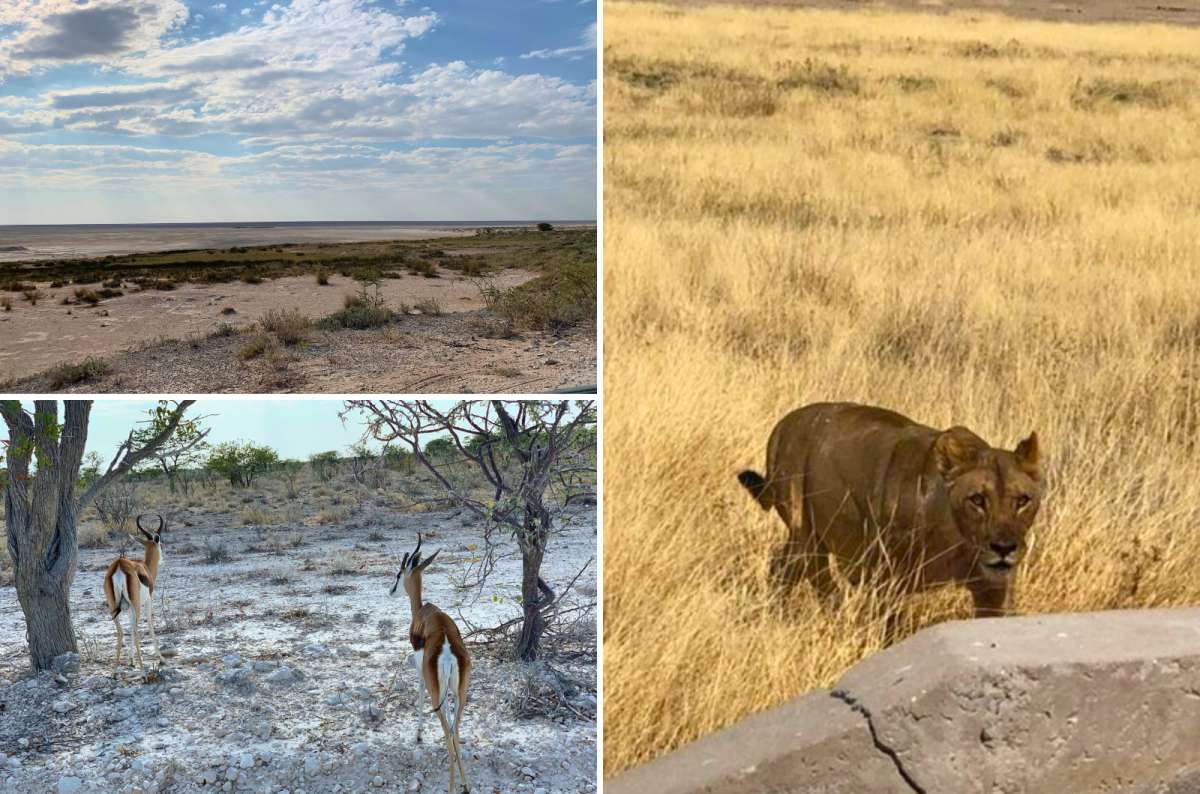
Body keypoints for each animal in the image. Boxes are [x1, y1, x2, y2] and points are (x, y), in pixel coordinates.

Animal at [738, 402, 1040, 619]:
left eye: (1022, 501)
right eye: (977, 500)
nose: (1004, 548)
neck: (957, 540)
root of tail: (783, 424)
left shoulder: (994, 588)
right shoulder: (887, 579)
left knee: (786, 568)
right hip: (806, 531)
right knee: (811, 575)